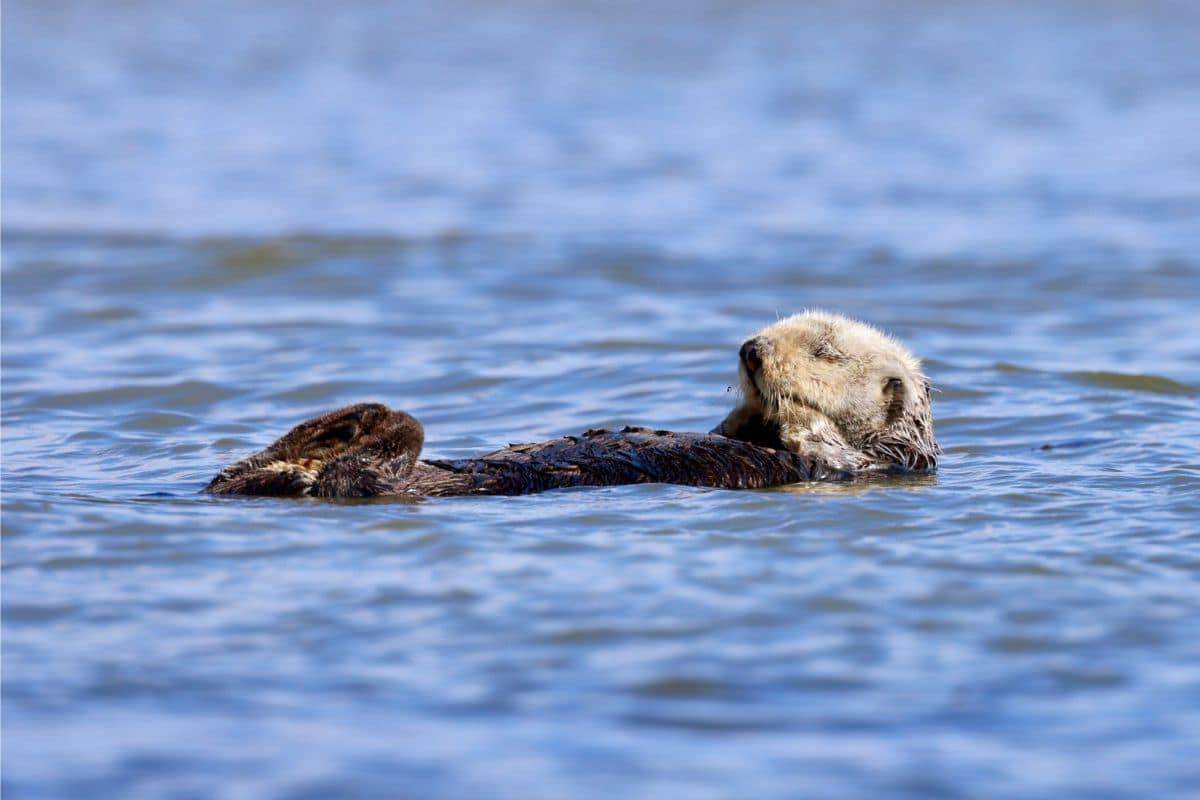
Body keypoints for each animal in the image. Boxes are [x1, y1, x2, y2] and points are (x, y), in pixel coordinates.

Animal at [203, 312, 938, 498]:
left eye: (826, 352)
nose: (751, 350)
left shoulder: (867, 461)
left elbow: (822, 446)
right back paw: (345, 424)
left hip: (378, 478)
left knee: (357, 475)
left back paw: (370, 422)